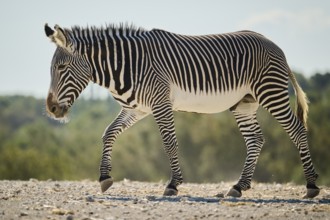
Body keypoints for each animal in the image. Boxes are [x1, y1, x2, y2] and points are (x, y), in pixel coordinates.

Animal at [43, 23, 320, 199]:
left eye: (62, 67)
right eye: (52, 68)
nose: (52, 109)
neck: (126, 66)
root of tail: (275, 46)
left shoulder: (160, 103)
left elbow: (169, 142)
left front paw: (173, 185)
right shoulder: (136, 109)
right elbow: (108, 133)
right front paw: (104, 178)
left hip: (270, 92)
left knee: (297, 130)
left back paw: (312, 185)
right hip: (245, 103)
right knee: (256, 140)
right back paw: (239, 186)